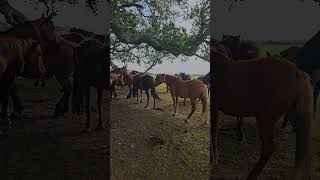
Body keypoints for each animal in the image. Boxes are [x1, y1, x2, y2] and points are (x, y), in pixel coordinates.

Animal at [211, 48, 312, 180]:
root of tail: (297, 72)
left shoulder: (213, 106)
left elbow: (213, 131)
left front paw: (213, 159)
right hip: (292, 114)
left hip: (265, 119)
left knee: (269, 148)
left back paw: (251, 175)